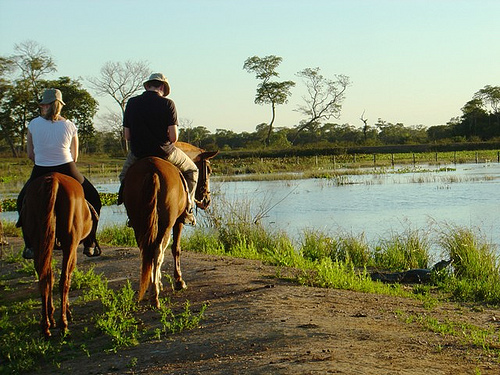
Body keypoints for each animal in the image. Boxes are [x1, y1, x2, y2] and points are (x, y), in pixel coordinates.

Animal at [20, 173, 96, 340]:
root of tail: (54, 179)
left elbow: (49, 277)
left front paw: (51, 315)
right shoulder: (72, 248)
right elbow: (66, 277)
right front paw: (66, 312)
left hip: (39, 242)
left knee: (44, 279)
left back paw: (46, 326)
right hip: (70, 244)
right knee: (64, 281)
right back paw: (63, 324)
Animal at [122, 142, 217, 306]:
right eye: (209, 171)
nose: (206, 200)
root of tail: (151, 169)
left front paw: (159, 281)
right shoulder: (178, 221)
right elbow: (175, 248)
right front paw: (179, 281)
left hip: (139, 223)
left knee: (146, 250)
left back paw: (152, 287)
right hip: (166, 223)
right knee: (157, 250)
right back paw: (154, 295)